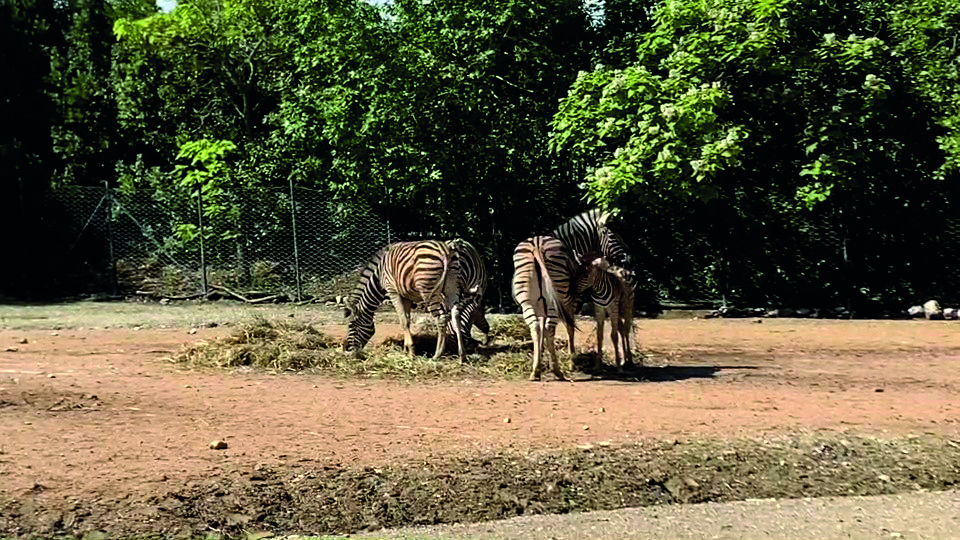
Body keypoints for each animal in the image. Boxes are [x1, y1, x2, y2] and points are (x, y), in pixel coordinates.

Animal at [510, 235, 576, 380]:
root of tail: (537, 243)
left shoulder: (541, 307)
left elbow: (540, 329)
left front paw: (539, 356)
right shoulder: (569, 302)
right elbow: (570, 327)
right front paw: (572, 362)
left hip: (527, 300)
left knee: (535, 327)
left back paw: (535, 371)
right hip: (556, 298)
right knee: (549, 328)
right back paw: (557, 371)